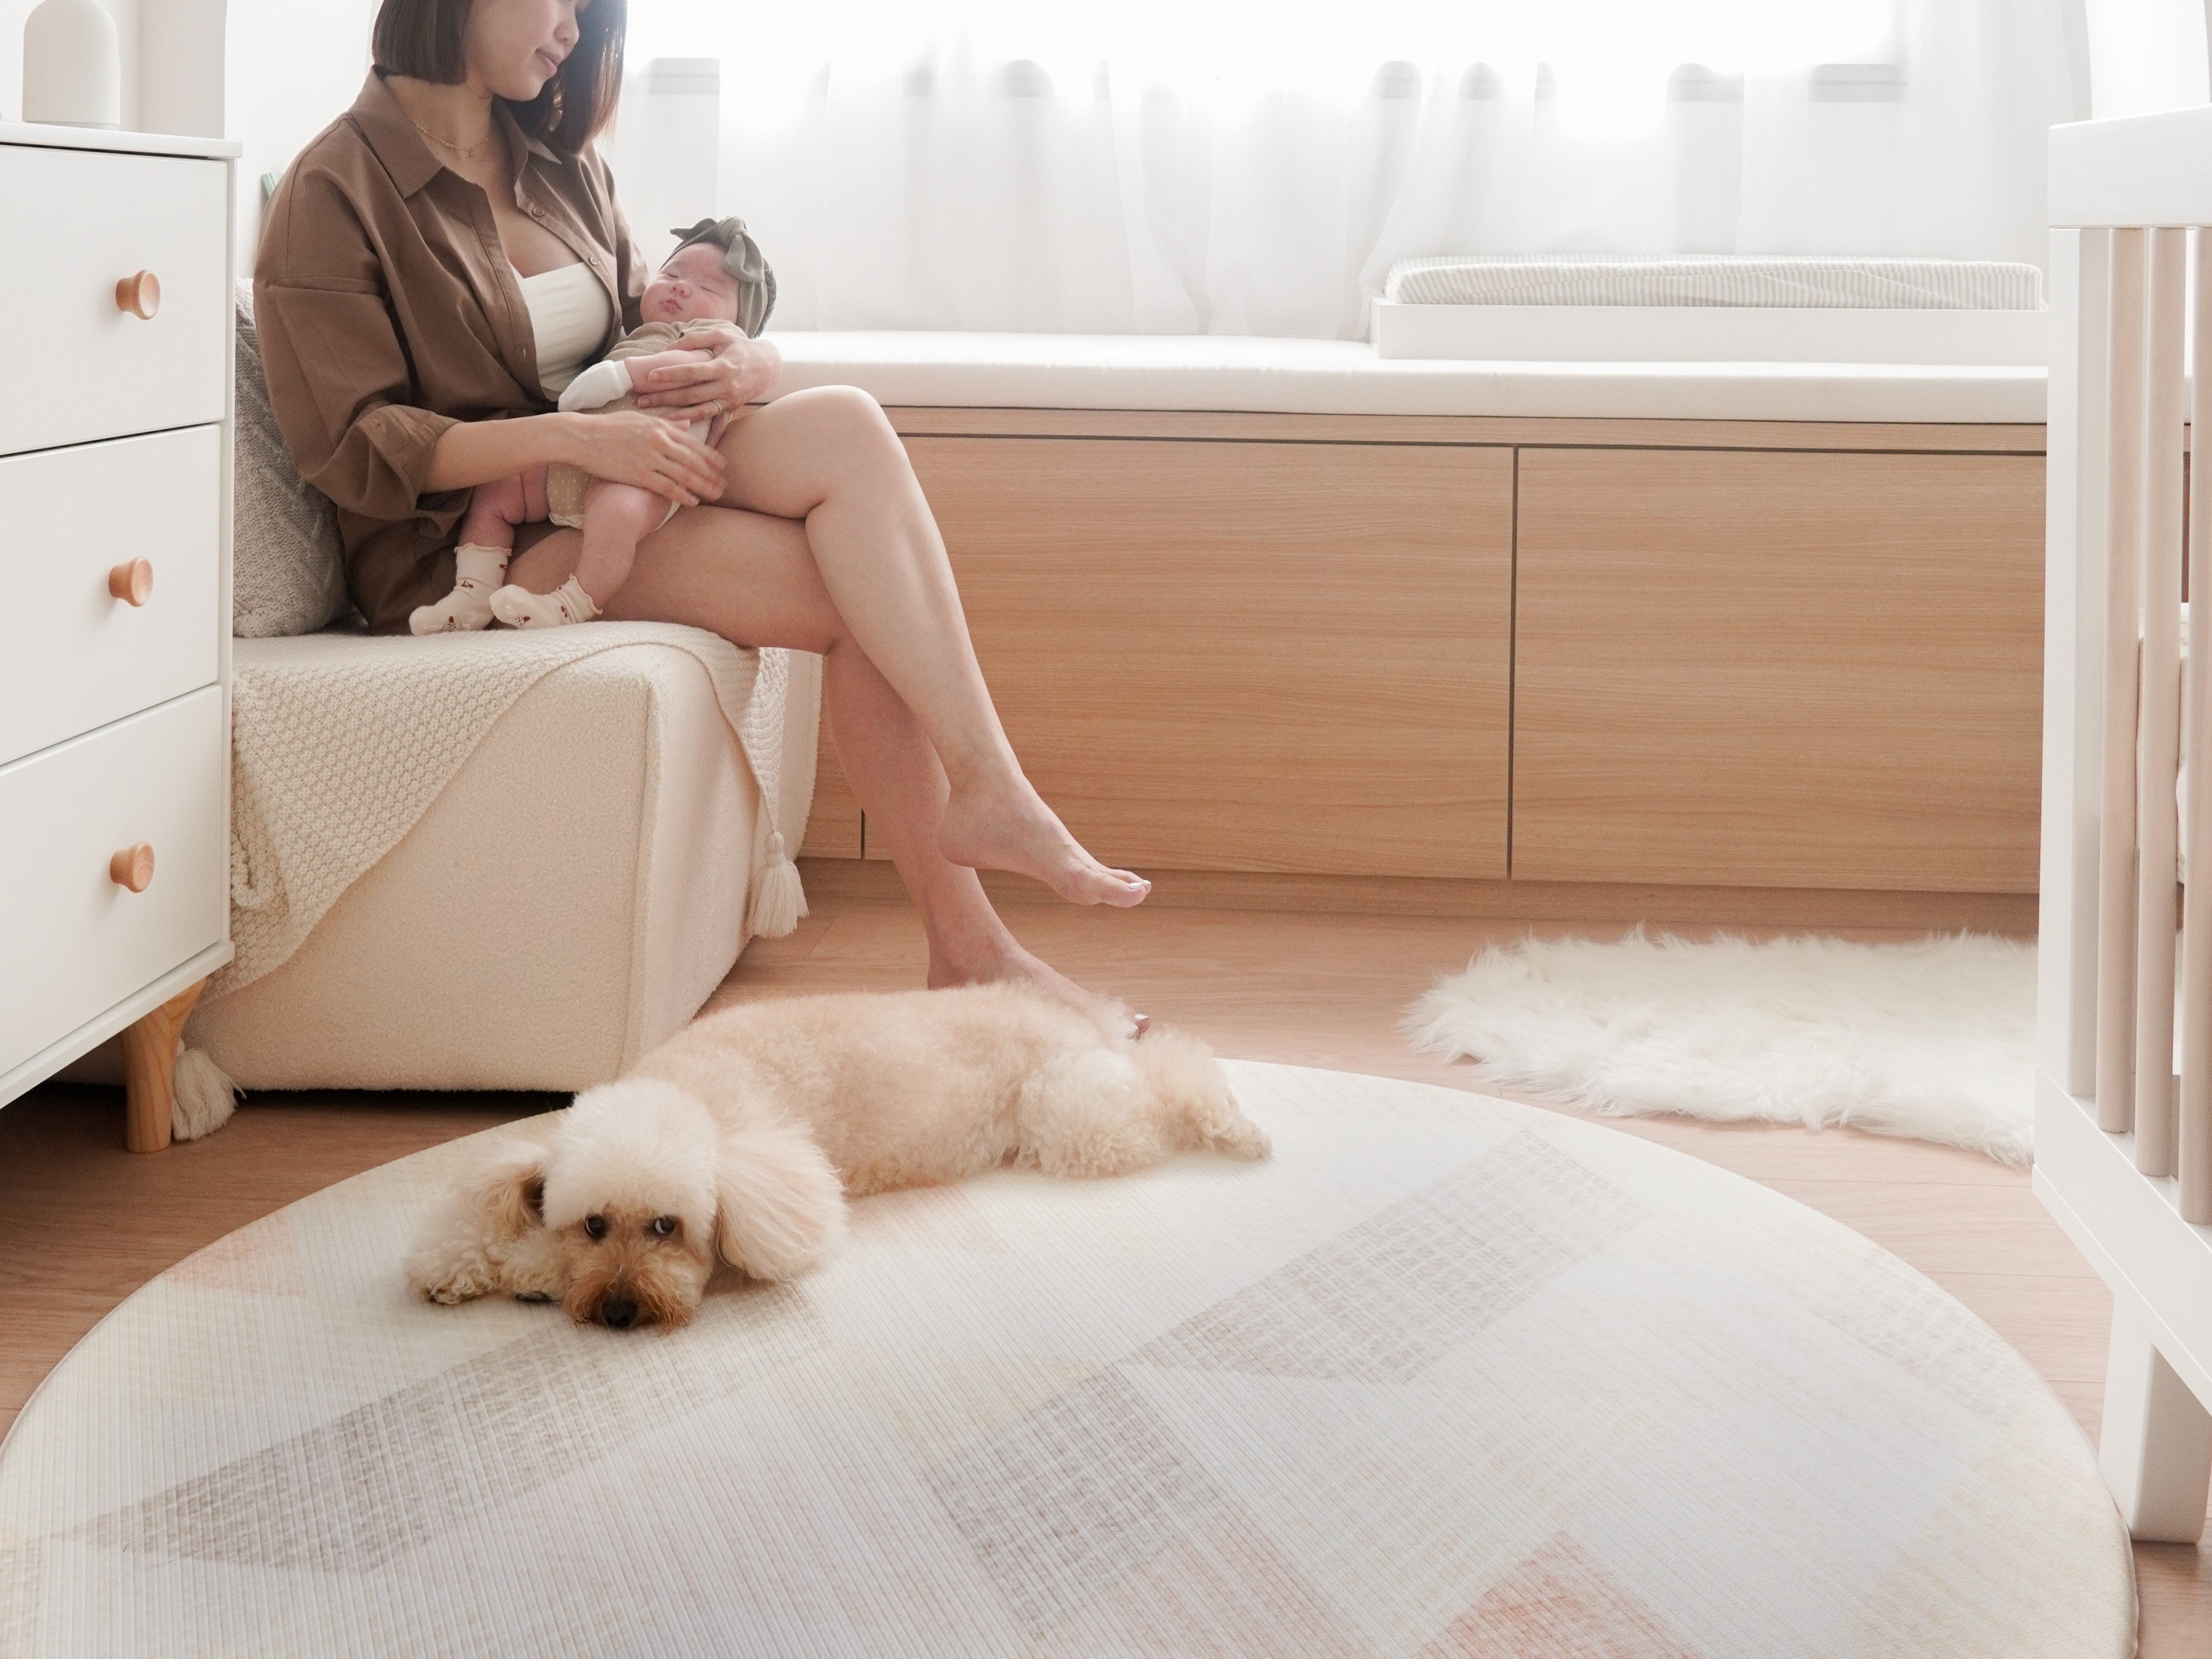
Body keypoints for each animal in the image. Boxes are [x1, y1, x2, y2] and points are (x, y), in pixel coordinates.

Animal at [398, 986, 1265, 1336]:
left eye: (668, 1226)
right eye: (593, 1224)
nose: (617, 1312)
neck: (689, 1088)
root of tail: (1068, 1006)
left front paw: (527, 1273)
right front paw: (482, 1267)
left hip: (1071, 1114)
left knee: (1169, 1077)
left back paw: (1234, 1122)